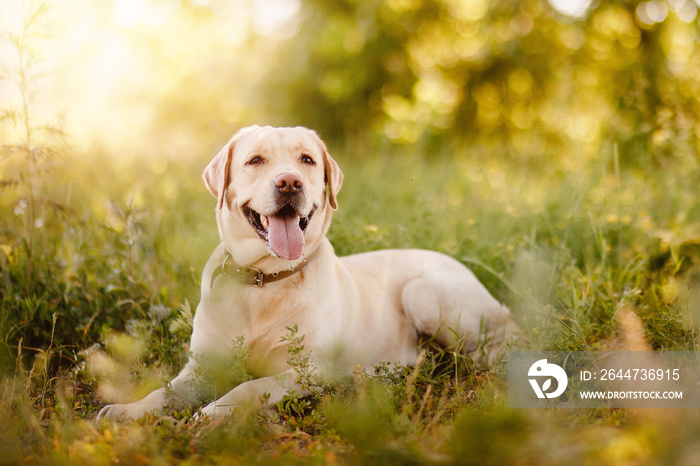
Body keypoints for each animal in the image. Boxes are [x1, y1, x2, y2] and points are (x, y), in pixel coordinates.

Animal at [98, 125, 516, 420]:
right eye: (255, 160)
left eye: (307, 160)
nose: (289, 182)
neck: (263, 281)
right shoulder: (200, 367)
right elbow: (164, 391)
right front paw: (129, 410)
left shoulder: (307, 370)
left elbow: (250, 387)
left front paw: (214, 412)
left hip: (423, 294)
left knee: (498, 343)